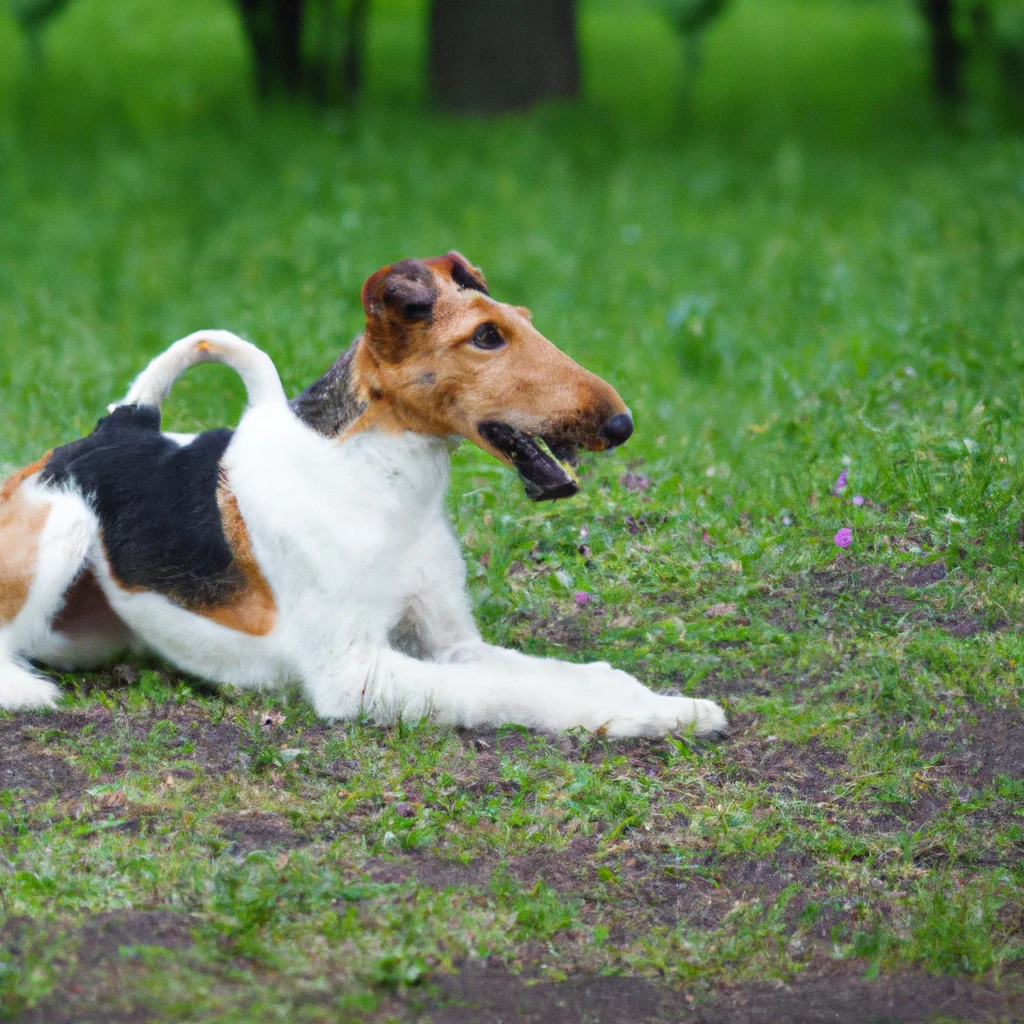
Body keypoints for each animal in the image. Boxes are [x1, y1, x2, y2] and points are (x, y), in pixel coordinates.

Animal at [0, 253, 729, 737]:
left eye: (522, 320)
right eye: (486, 336)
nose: (620, 424)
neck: (380, 484)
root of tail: (121, 422)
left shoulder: (450, 643)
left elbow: (567, 674)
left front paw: (678, 707)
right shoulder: (356, 672)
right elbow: (514, 693)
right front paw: (644, 716)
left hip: (86, 632)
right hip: (58, 536)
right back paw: (31, 694)